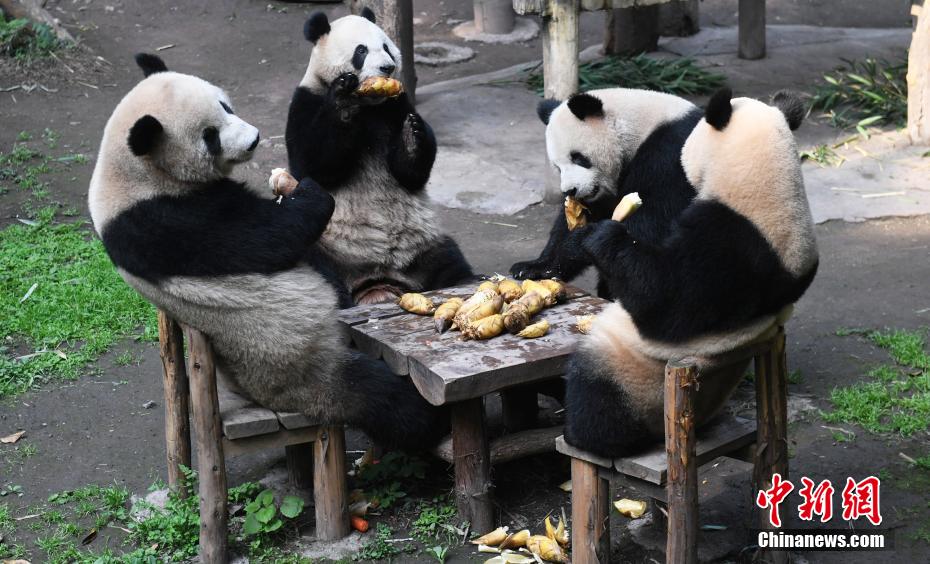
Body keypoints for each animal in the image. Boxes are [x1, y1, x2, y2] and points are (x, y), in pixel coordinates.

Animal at [87, 53, 447, 451]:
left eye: (225, 105)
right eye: (209, 136)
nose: (254, 139)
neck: (132, 172)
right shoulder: (160, 221)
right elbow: (265, 236)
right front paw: (308, 192)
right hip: (301, 370)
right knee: (380, 397)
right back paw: (427, 422)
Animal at [286, 9, 473, 305]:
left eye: (386, 47)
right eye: (360, 51)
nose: (387, 68)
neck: (369, 104)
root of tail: (379, 280)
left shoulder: (396, 105)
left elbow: (409, 175)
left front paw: (412, 134)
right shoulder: (307, 99)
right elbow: (313, 164)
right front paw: (344, 99)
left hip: (424, 247)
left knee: (449, 261)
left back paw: (465, 280)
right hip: (329, 246)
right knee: (320, 274)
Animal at [510, 88, 703, 299]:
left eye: (578, 158)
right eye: (557, 167)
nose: (570, 190)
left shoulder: (671, 154)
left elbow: (652, 217)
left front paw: (581, 241)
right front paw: (536, 267)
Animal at [562, 88, 817, 458]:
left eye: (579, 158)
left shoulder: (724, 242)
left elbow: (665, 299)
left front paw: (600, 235)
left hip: (637, 376)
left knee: (596, 392)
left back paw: (584, 434)